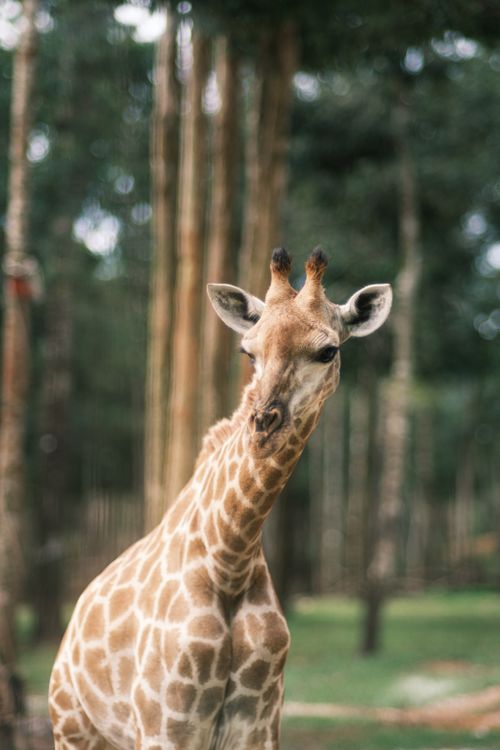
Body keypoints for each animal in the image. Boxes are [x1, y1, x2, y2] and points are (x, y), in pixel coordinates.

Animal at [49, 248, 392, 750]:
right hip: (73, 727)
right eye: (248, 352)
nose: (264, 423)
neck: (230, 560)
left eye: (328, 350)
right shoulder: (165, 726)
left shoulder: (259, 726)